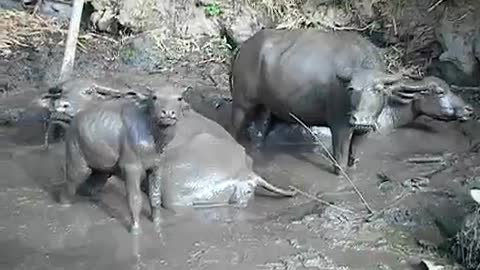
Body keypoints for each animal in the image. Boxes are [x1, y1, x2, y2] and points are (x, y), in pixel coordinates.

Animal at [56, 86, 184, 234]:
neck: (153, 136)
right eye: (154, 97)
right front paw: (135, 230)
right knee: (70, 184)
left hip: (102, 169)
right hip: (77, 160)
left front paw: (158, 222)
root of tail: (72, 122)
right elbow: (135, 198)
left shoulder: (156, 167)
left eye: (179, 98)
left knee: (90, 186)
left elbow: (155, 196)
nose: (168, 113)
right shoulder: (131, 167)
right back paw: (64, 205)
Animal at [230, 28, 472, 175]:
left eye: (378, 89)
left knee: (258, 134)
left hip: (264, 109)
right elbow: (340, 165)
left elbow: (354, 161)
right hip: (242, 104)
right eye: (351, 88)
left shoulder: (363, 132)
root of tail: (244, 48)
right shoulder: (341, 128)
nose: (469, 109)